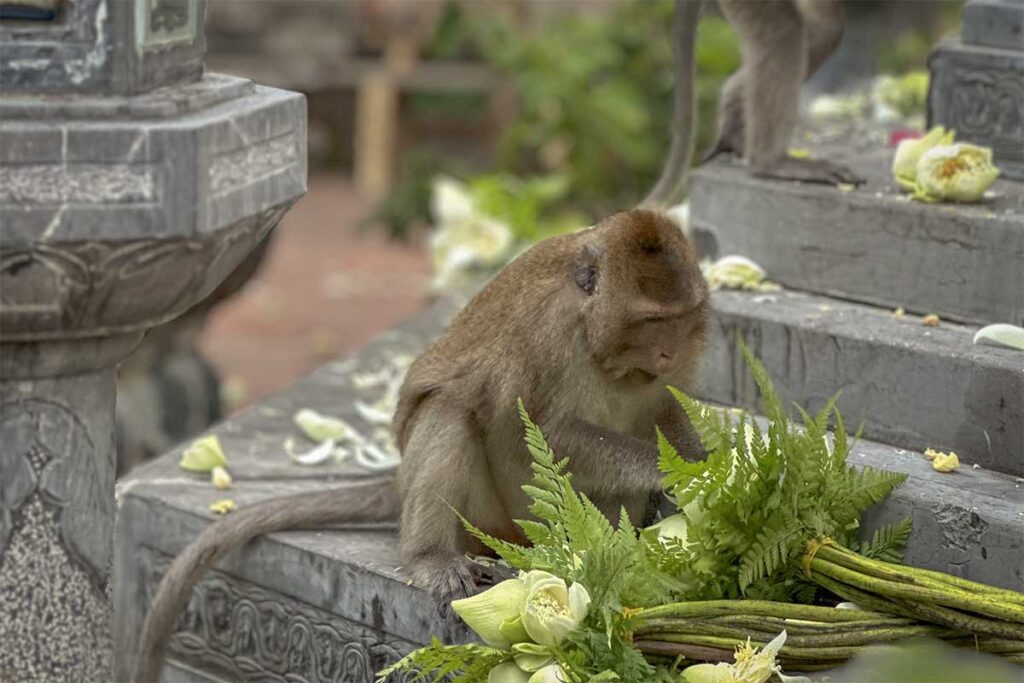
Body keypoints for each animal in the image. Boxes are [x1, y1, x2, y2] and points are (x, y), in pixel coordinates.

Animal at [133, 208, 710, 682]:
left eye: (680, 321)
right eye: (652, 320)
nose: (665, 353)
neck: (594, 335)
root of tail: (400, 478)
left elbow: (664, 409)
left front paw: (702, 465)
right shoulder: (551, 332)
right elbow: (533, 430)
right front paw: (683, 471)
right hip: (498, 517)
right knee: (450, 408)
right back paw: (431, 557)